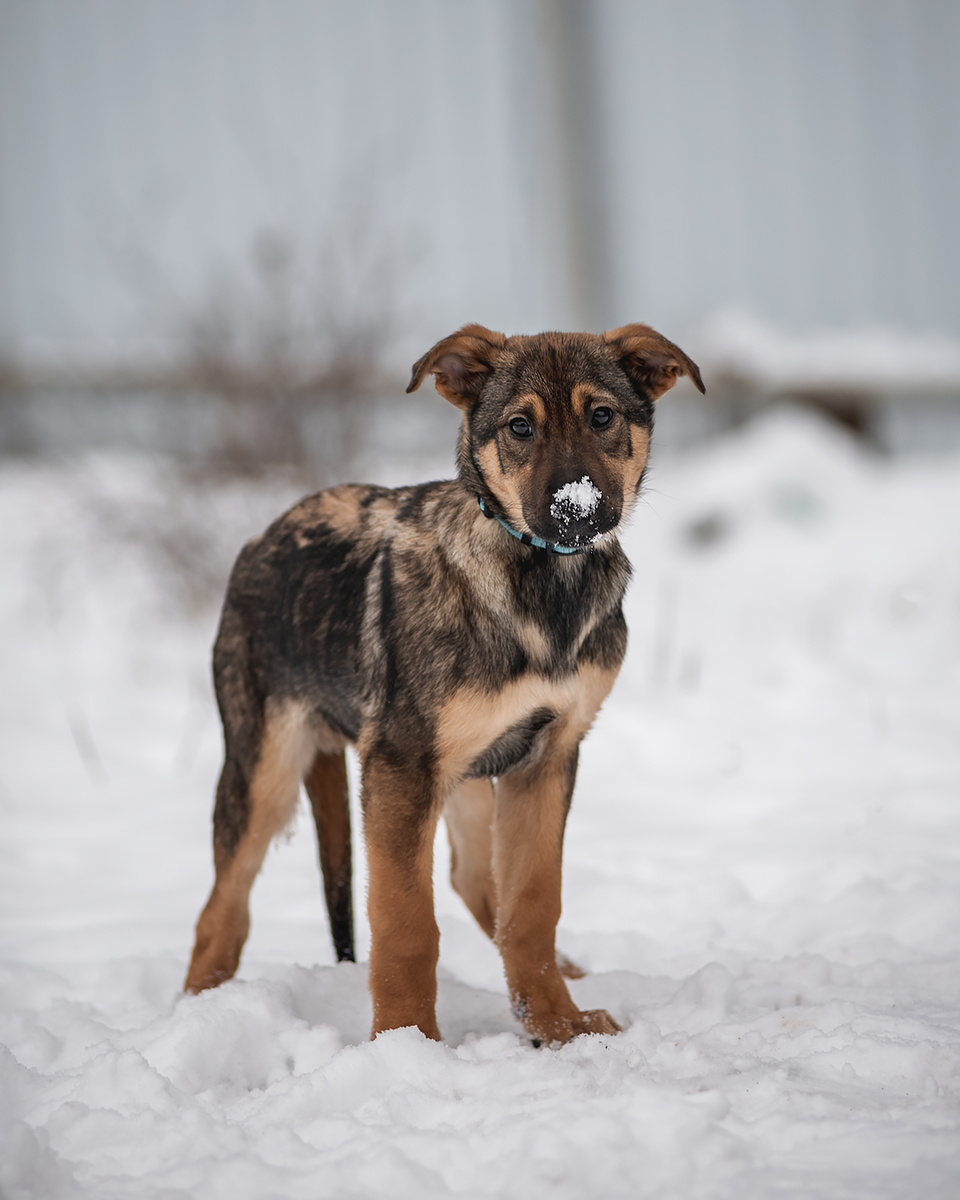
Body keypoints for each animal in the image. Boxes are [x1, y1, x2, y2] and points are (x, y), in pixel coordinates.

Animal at [185, 323, 704, 1045]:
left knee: (474, 880)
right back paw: (196, 1013)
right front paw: (405, 1044)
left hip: (466, 770)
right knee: (221, 911)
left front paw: (557, 1022)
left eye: (602, 417)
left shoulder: (548, 757)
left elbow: (531, 903)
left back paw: (565, 976)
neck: (542, 581)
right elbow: (405, 924)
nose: (574, 509)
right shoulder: (399, 769)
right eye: (519, 427)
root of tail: (264, 535)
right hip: (266, 768)